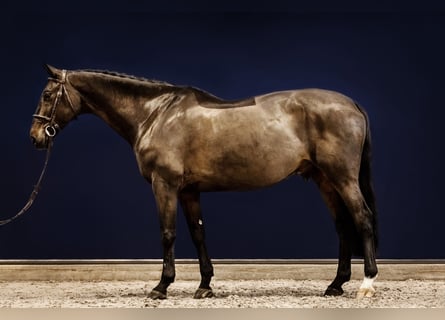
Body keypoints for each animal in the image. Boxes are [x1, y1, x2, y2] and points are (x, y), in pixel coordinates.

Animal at [30, 65, 378, 300]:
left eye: (47, 95)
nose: (35, 137)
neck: (156, 114)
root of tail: (353, 104)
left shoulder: (164, 185)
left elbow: (168, 233)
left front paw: (162, 286)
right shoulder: (189, 191)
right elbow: (198, 234)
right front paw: (205, 286)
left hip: (342, 177)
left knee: (362, 219)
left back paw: (367, 283)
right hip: (324, 180)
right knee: (343, 226)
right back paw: (335, 285)